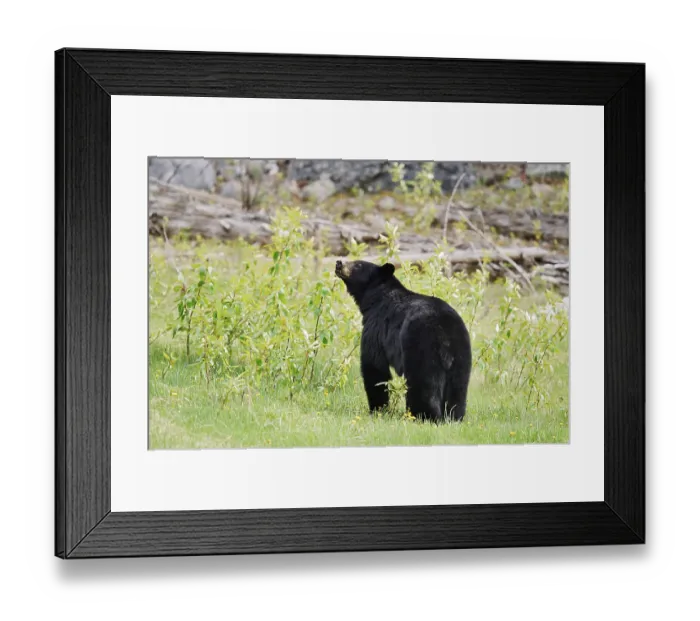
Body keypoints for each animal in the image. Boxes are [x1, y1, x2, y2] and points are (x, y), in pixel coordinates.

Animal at [335, 259, 472, 423]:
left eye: (358, 264)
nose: (339, 263)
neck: (376, 298)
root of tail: (445, 337)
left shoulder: (376, 327)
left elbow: (374, 366)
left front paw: (378, 409)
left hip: (422, 347)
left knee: (423, 386)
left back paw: (423, 416)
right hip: (461, 353)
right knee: (458, 389)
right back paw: (454, 417)